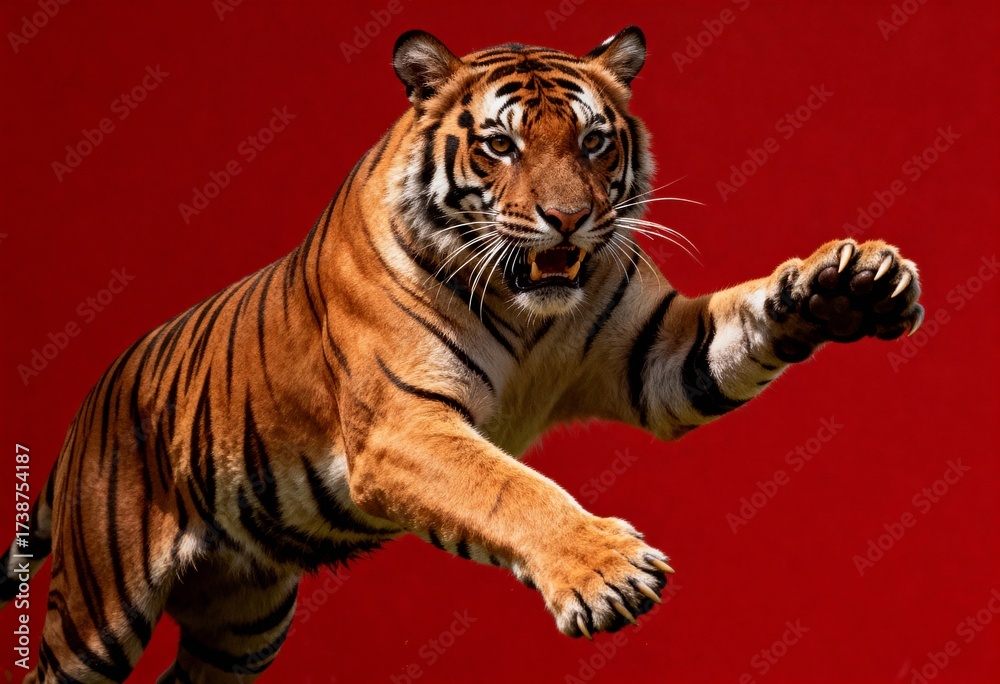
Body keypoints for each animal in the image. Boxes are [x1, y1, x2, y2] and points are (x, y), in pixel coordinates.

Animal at [1, 26, 923, 683]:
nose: (567, 219)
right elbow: (509, 489)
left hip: (244, 623)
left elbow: (750, 316)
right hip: (101, 610)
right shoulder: (404, 427)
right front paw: (607, 571)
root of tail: (86, 410)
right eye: (501, 145)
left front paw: (850, 285)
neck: (530, 308)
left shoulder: (656, 357)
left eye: (594, 143)